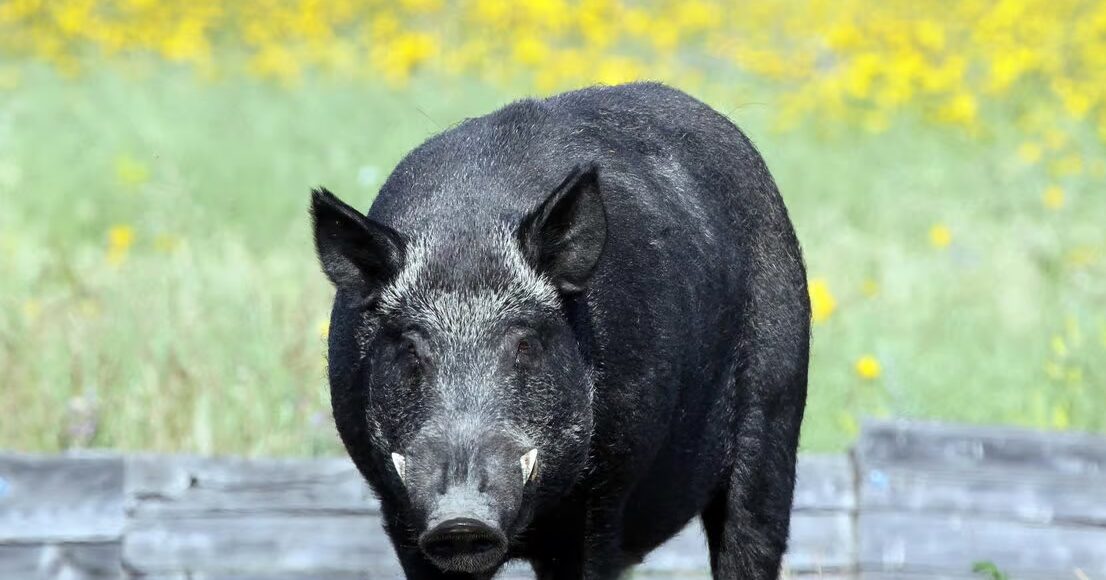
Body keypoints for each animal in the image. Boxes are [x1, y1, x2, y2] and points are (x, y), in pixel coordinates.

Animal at [311, 82, 809, 579]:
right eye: (412, 350)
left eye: (525, 344)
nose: (462, 520)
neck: (468, 236)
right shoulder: (398, 509)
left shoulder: (604, 491)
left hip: (776, 409)